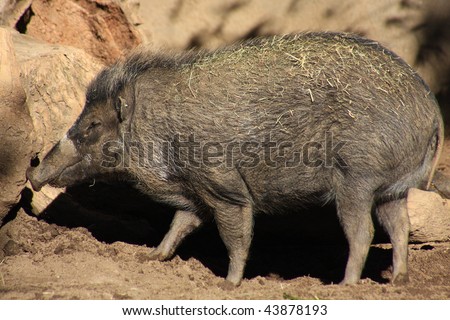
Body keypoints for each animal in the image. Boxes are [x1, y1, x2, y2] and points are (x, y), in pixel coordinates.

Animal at [27, 32, 442, 286]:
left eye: (93, 124)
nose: (32, 174)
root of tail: (432, 110)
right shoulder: (194, 194)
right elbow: (179, 224)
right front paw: (151, 259)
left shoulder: (224, 187)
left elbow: (235, 234)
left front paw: (230, 284)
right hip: (391, 189)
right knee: (399, 226)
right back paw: (396, 280)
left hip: (357, 178)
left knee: (364, 232)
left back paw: (344, 285)